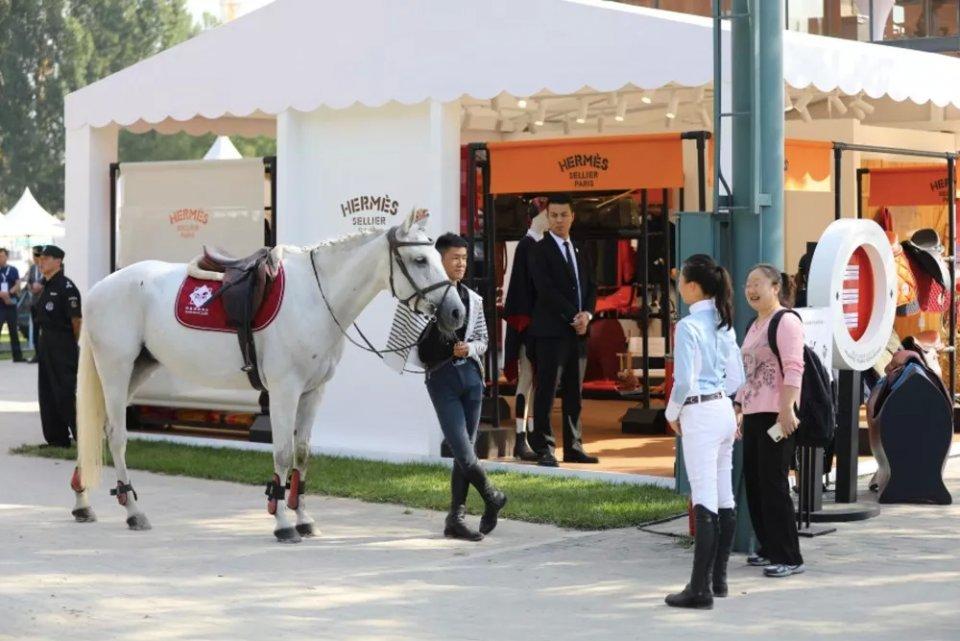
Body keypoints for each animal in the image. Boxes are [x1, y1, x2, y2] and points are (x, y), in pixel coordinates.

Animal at [73, 209, 464, 540]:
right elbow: (283, 453)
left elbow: (302, 453)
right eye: (419, 260)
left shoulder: (313, 392)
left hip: (139, 370)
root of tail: (98, 289)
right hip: (116, 369)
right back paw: (133, 511)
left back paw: (82, 502)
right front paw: (282, 523)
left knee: (100, 429)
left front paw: (303, 519)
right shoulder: (283, 391)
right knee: (117, 436)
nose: (456, 312)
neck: (316, 298)